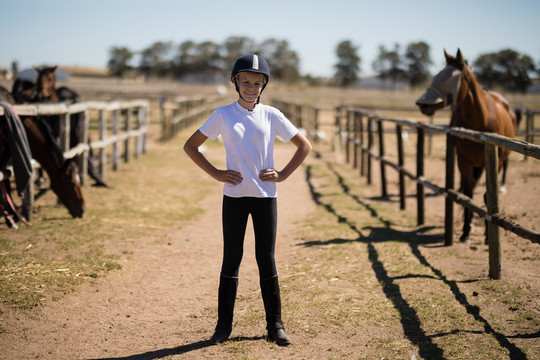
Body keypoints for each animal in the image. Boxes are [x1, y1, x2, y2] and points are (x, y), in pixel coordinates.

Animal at [416, 49, 516, 243]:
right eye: (436, 76)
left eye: (450, 78)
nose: (423, 103)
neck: (480, 120)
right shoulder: (464, 162)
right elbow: (468, 195)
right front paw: (466, 232)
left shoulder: (495, 163)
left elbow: (486, 197)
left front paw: (488, 235)